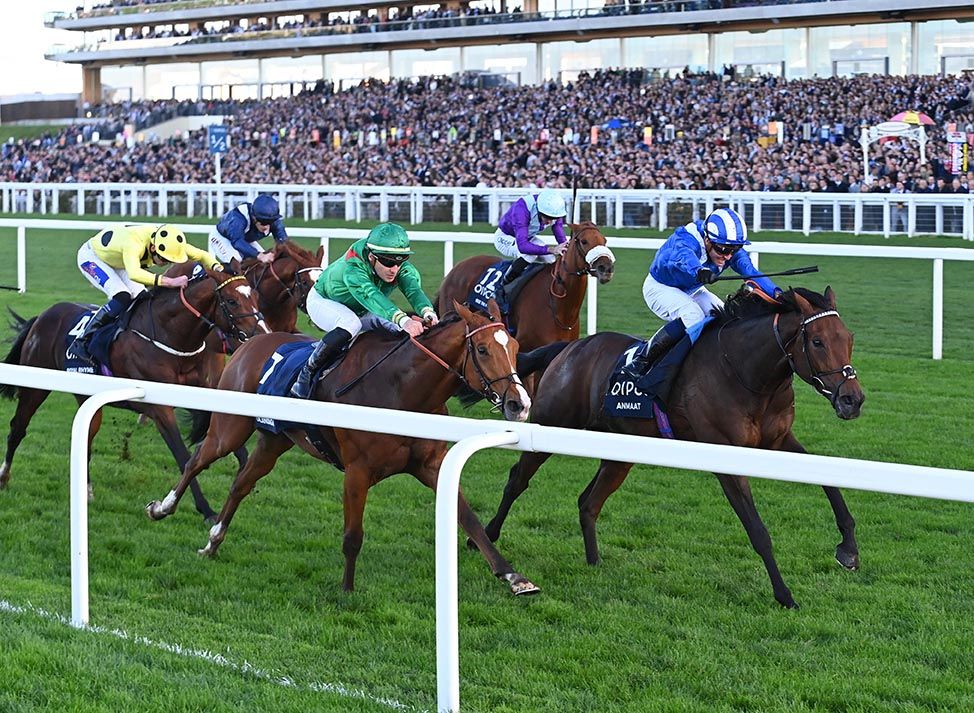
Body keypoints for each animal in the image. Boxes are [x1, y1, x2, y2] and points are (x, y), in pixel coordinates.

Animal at [0, 264, 266, 520]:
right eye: (231, 301)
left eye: (255, 295)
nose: (262, 335)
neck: (169, 335)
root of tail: (42, 316)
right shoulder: (160, 408)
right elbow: (183, 456)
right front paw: (206, 511)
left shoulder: (202, 395)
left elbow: (233, 448)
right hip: (34, 386)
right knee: (18, 428)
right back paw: (4, 476)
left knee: (86, 440)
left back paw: (86, 490)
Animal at [147, 298, 540, 596]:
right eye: (483, 349)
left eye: (516, 347)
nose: (520, 404)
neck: (401, 390)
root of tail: (248, 344)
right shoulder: (357, 471)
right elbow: (353, 535)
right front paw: (347, 590)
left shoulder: (431, 465)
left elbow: (468, 518)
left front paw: (513, 576)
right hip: (230, 428)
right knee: (197, 460)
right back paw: (163, 508)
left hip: (274, 440)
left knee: (242, 482)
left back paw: (214, 541)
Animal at [484, 284, 864, 608]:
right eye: (817, 342)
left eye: (848, 338)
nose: (853, 399)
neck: (745, 373)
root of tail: (570, 348)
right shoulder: (725, 455)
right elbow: (757, 530)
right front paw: (784, 594)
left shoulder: (778, 441)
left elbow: (829, 481)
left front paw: (848, 549)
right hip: (553, 423)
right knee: (517, 479)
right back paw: (486, 537)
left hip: (620, 451)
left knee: (588, 502)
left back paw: (594, 562)